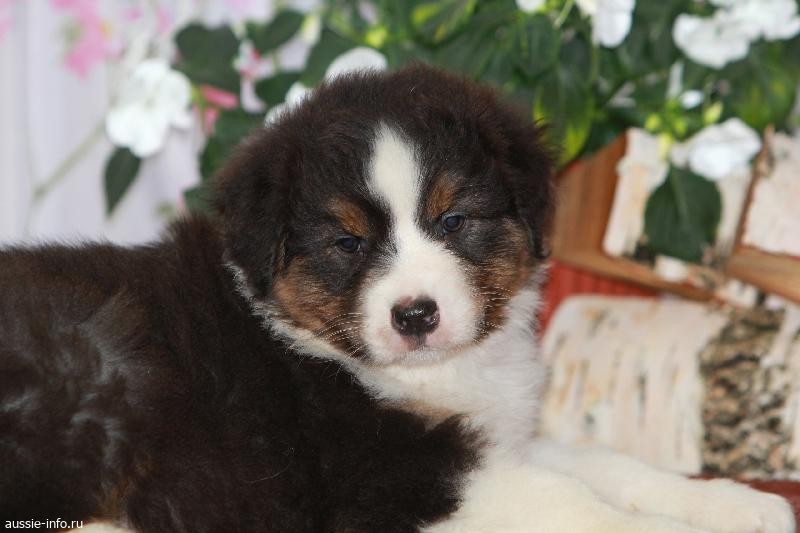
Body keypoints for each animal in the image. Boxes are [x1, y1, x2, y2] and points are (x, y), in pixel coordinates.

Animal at [0, 65, 794, 532]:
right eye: (348, 243)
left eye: (454, 221)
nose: (415, 315)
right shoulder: (400, 478)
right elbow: (573, 503)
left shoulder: (494, 434)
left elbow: (608, 465)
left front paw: (738, 505)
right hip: (99, 367)